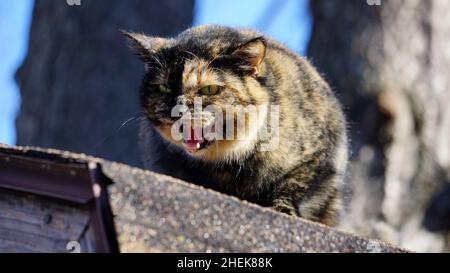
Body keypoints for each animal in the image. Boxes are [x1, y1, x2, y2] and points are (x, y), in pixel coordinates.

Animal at [123, 25, 348, 225]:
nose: (177, 110)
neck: (228, 165)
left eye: (209, 89)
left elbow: (294, 186)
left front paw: (282, 209)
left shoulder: (318, 157)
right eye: (163, 88)